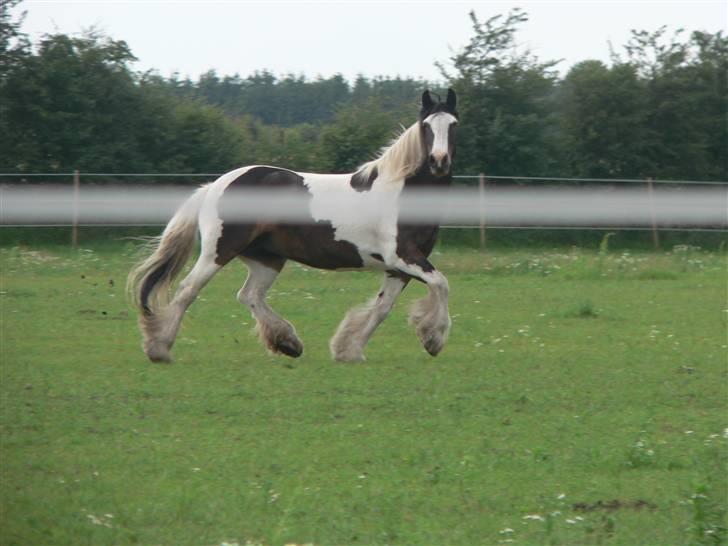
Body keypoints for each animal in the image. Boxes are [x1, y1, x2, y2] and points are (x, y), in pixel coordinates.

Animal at [128, 88, 458, 362]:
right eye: (427, 126)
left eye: (453, 125)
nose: (439, 161)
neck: (401, 193)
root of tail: (216, 185)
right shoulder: (402, 256)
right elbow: (441, 284)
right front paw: (434, 339)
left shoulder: (397, 267)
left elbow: (382, 307)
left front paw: (348, 350)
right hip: (218, 251)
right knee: (188, 289)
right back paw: (159, 349)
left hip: (267, 258)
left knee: (249, 295)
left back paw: (287, 342)